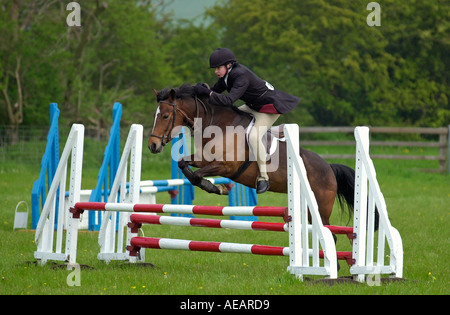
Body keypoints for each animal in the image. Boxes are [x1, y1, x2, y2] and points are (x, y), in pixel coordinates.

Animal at [148, 85, 356, 228]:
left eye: (165, 116)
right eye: (155, 115)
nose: (152, 145)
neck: (218, 125)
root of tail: (329, 167)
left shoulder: (225, 166)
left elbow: (198, 175)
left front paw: (216, 188)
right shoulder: (204, 159)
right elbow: (184, 165)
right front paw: (219, 188)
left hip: (321, 208)